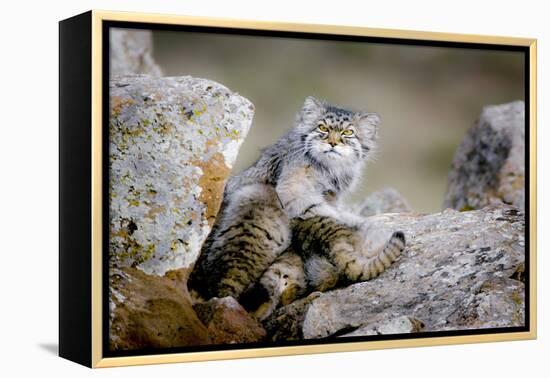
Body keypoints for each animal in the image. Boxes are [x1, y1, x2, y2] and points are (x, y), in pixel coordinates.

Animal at [188, 95, 408, 318]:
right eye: (322, 128)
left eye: (348, 132)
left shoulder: (331, 196)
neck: (329, 169)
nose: (332, 143)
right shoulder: (294, 187)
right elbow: (318, 208)